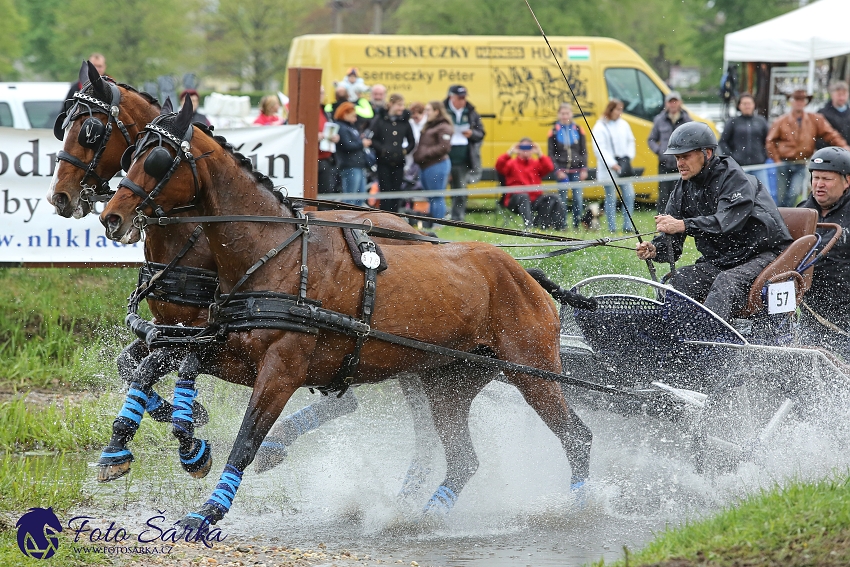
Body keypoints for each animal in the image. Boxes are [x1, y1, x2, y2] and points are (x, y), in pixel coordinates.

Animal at [48, 60, 444, 490]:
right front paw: (179, 417)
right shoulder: (168, 328)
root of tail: (419, 234)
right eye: (63, 124)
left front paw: (187, 430)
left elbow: (155, 367)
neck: (196, 230)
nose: (60, 197)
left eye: (90, 131)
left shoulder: (197, 329)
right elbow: (130, 364)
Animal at [97, 96, 588, 532]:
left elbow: (246, 440)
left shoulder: (281, 370)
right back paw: (421, 515)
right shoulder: (221, 346)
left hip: (533, 373)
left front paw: (207, 511)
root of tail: (522, 273)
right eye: (131, 153)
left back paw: (583, 505)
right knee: (463, 458)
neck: (276, 254)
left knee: (576, 439)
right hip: (449, 382)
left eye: (157, 160)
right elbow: (156, 366)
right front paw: (148, 447)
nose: (111, 217)